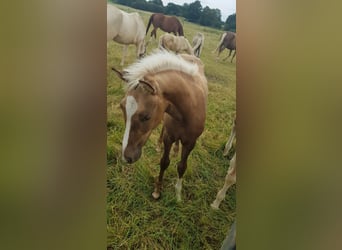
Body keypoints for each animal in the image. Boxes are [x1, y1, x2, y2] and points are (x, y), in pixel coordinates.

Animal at [113, 50, 207, 201]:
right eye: (122, 107)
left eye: (146, 117)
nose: (126, 157)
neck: (188, 109)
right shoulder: (169, 137)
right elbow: (164, 162)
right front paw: (157, 191)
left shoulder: (191, 142)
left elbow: (182, 166)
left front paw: (178, 195)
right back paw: (161, 146)